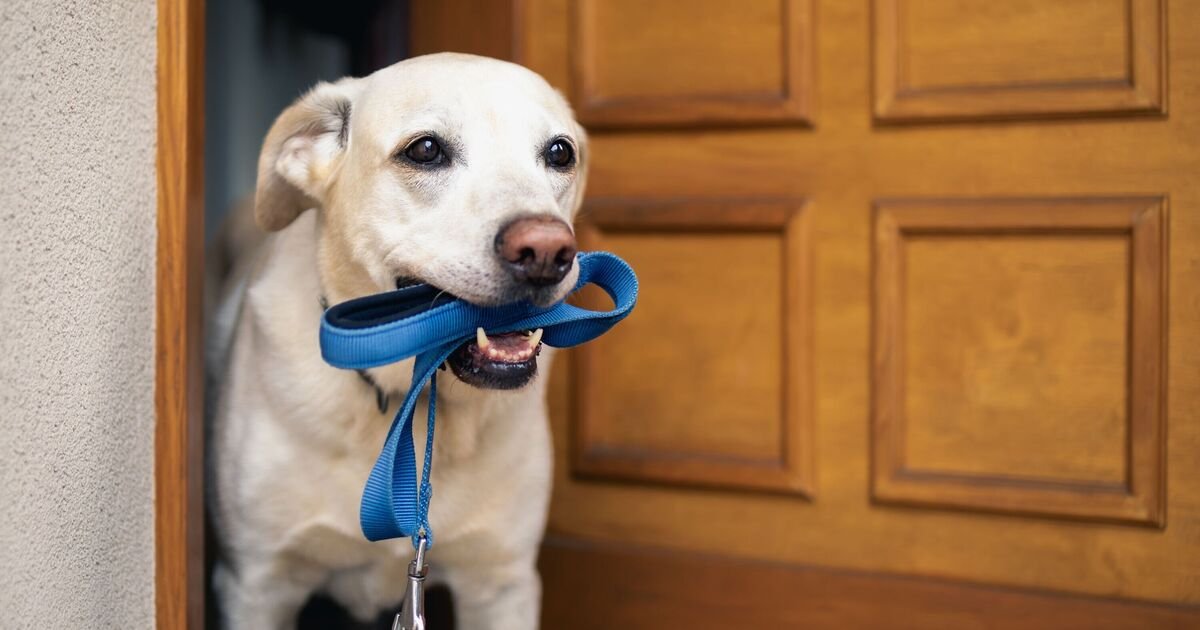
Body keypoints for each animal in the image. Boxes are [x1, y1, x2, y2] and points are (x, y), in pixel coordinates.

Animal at [206, 53, 588, 630]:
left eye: (560, 153)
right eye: (425, 150)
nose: (546, 251)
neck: (412, 402)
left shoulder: (501, 584)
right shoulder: (256, 585)